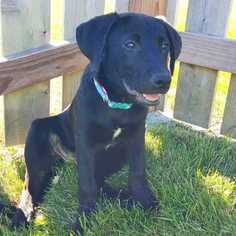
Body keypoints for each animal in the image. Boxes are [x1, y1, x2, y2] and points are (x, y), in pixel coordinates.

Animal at [2, 12, 182, 229]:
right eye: (130, 45)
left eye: (164, 46)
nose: (164, 80)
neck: (116, 104)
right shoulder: (86, 143)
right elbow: (87, 184)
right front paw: (83, 220)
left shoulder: (137, 135)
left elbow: (137, 172)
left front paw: (146, 203)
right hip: (38, 132)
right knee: (30, 186)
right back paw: (22, 215)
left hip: (114, 156)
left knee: (100, 181)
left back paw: (123, 197)